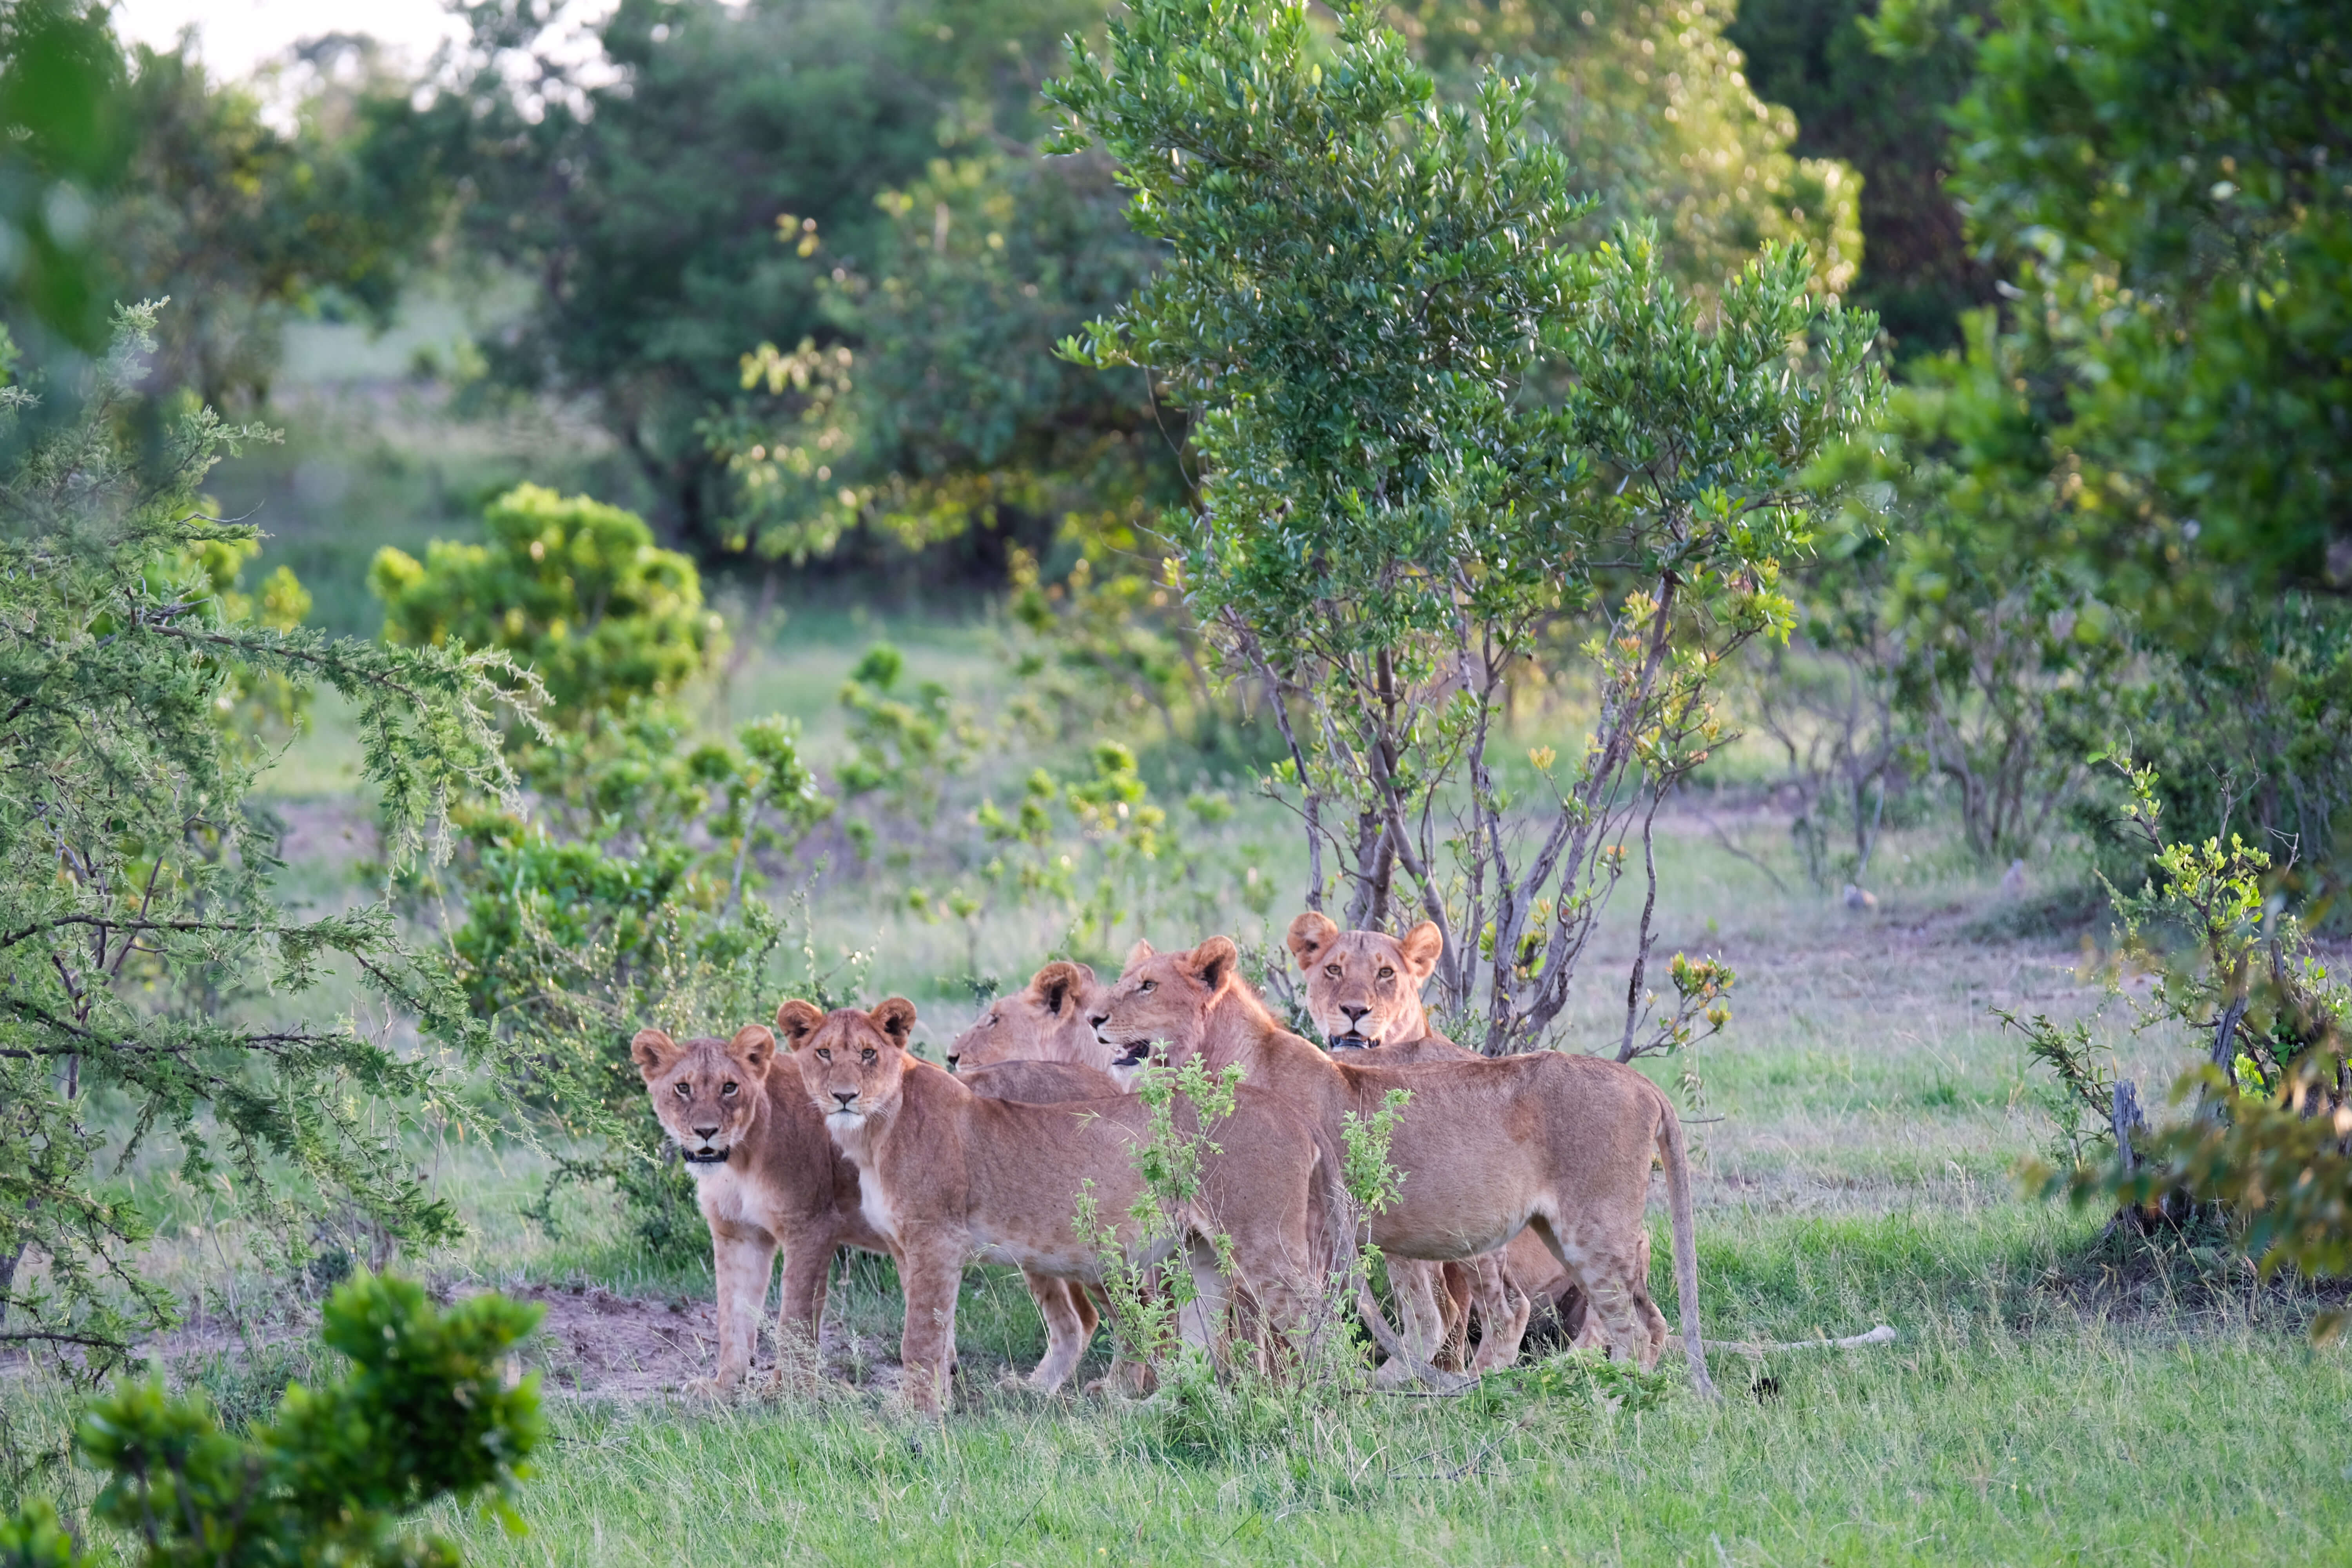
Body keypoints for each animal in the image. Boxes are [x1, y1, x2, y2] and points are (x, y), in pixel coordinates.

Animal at [630, 1029, 1096, 1401]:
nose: (707, 1132)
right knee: (1079, 1320)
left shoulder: (811, 1225)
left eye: (730, 1088)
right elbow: (733, 1317)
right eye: (683, 1088)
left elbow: (793, 1318)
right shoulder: (738, 1235)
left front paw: (784, 1392)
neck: (739, 1157)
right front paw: (723, 1387)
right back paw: (1035, 1390)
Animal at [781, 1001, 1336, 1420]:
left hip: (1261, 1244)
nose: (844, 1096)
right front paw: (932, 1403)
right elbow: (940, 1336)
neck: (873, 1133)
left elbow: (919, 1338)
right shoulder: (907, 1249)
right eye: (824, 1052)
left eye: (869, 1053)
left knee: (1319, 1320)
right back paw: (1154, 1408)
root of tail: (1296, 1114)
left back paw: (1320, 1403)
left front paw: (916, 1416)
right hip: (1205, 1253)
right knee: (1202, 1341)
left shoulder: (936, 1240)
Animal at [1091, 931, 1722, 1401]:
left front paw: (1274, 1390)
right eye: (1124, 981)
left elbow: (1273, 1324)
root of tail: (1641, 1082)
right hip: (1559, 1233)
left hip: (1586, 1228)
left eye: (1146, 987)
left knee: (1620, 1326)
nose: (1094, 1018)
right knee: (1647, 1319)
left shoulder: (1289, 1227)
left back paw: (1602, 1397)